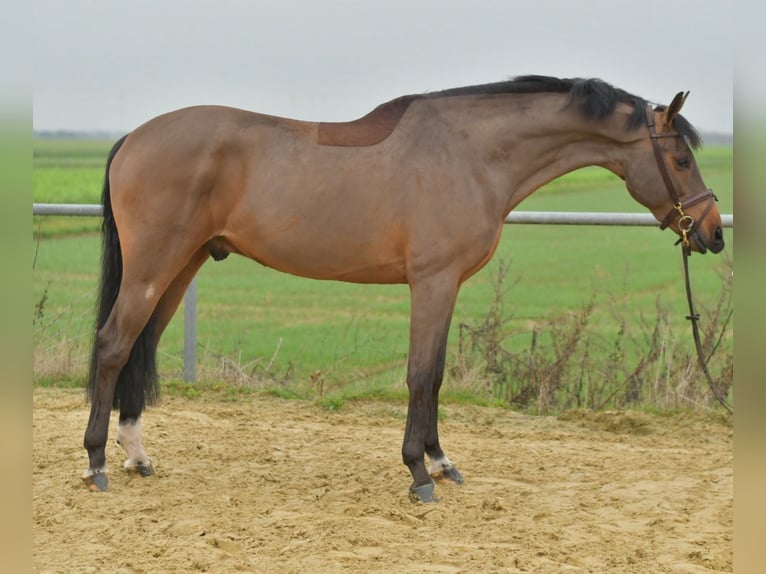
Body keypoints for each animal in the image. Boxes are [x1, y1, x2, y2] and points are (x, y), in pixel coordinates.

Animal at [83, 75, 724, 502]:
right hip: (155, 265)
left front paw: (441, 463)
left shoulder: (447, 286)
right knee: (114, 344)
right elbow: (420, 375)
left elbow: (434, 374)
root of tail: (133, 138)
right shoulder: (432, 282)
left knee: (142, 344)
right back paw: (96, 463)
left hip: (183, 264)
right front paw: (419, 474)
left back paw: (137, 456)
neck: (469, 154)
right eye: (680, 158)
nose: (712, 233)